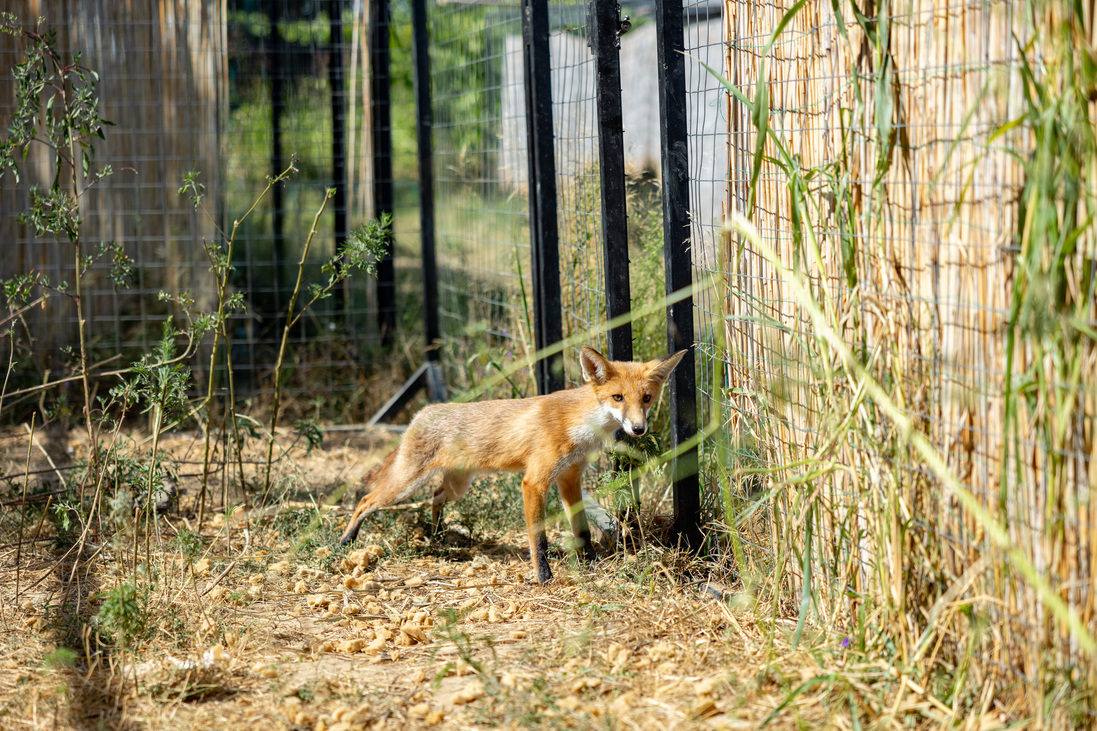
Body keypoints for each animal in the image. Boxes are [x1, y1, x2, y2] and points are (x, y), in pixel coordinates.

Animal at [340, 346, 684, 579]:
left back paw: (437, 533)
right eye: (617, 398)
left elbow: (582, 531)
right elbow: (538, 540)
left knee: (435, 496)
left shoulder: (570, 478)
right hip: (405, 484)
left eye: (646, 399)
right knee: (367, 500)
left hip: (457, 485)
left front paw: (590, 564)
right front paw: (544, 578)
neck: (578, 425)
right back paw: (347, 540)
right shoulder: (534, 482)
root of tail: (422, 412)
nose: (638, 429)